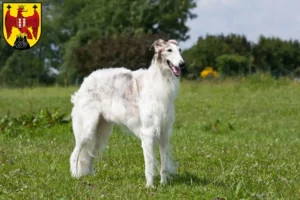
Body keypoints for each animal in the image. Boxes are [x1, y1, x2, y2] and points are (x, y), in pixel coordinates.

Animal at [69, 39, 184, 188]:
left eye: (180, 50)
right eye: (169, 50)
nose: (182, 64)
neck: (161, 82)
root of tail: (85, 81)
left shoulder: (165, 133)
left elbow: (163, 165)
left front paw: (164, 184)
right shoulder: (148, 133)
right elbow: (149, 164)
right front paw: (150, 186)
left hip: (101, 132)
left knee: (90, 155)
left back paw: (92, 176)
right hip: (87, 129)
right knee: (75, 153)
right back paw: (76, 176)